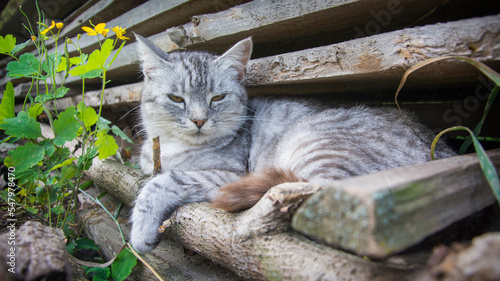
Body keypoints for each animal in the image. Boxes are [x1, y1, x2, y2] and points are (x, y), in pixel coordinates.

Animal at [130, 34, 458, 252]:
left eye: (218, 98)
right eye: (176, 98)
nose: (199, 120)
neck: (171, 147)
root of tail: (438, 145)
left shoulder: (227, 174)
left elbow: (160, 182)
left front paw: (140, 230)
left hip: (312, 147)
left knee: (317, 204)